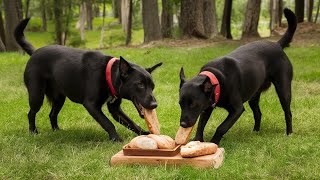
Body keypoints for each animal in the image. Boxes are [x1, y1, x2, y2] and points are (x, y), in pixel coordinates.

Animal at [14, 18, 162, 142]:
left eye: (152, 86)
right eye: (140, 84)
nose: (154, 104)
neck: (108, 73)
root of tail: (34, 52)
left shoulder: (115, 108)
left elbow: (131, 122)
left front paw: (145, 133)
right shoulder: (91, 105)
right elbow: (108, 123)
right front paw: (116, 139)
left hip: (59, 98)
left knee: (52, 114)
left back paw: (57, 131)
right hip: (36, 95)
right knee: (31, 113)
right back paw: (33, 132)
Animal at [179, 8, 296, 145]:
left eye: (193, 105)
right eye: (180, 104)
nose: (182, 124)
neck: (217, 77)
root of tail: (277, 45)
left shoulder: (237, 109)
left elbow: (222, 127)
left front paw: (214, 143)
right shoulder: (207, 106)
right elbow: (201, 124)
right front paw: (197, 140)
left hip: (283, 89)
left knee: (288, 112)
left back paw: (289, 133)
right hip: (253, 96)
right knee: (258, 113)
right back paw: (255, 132)